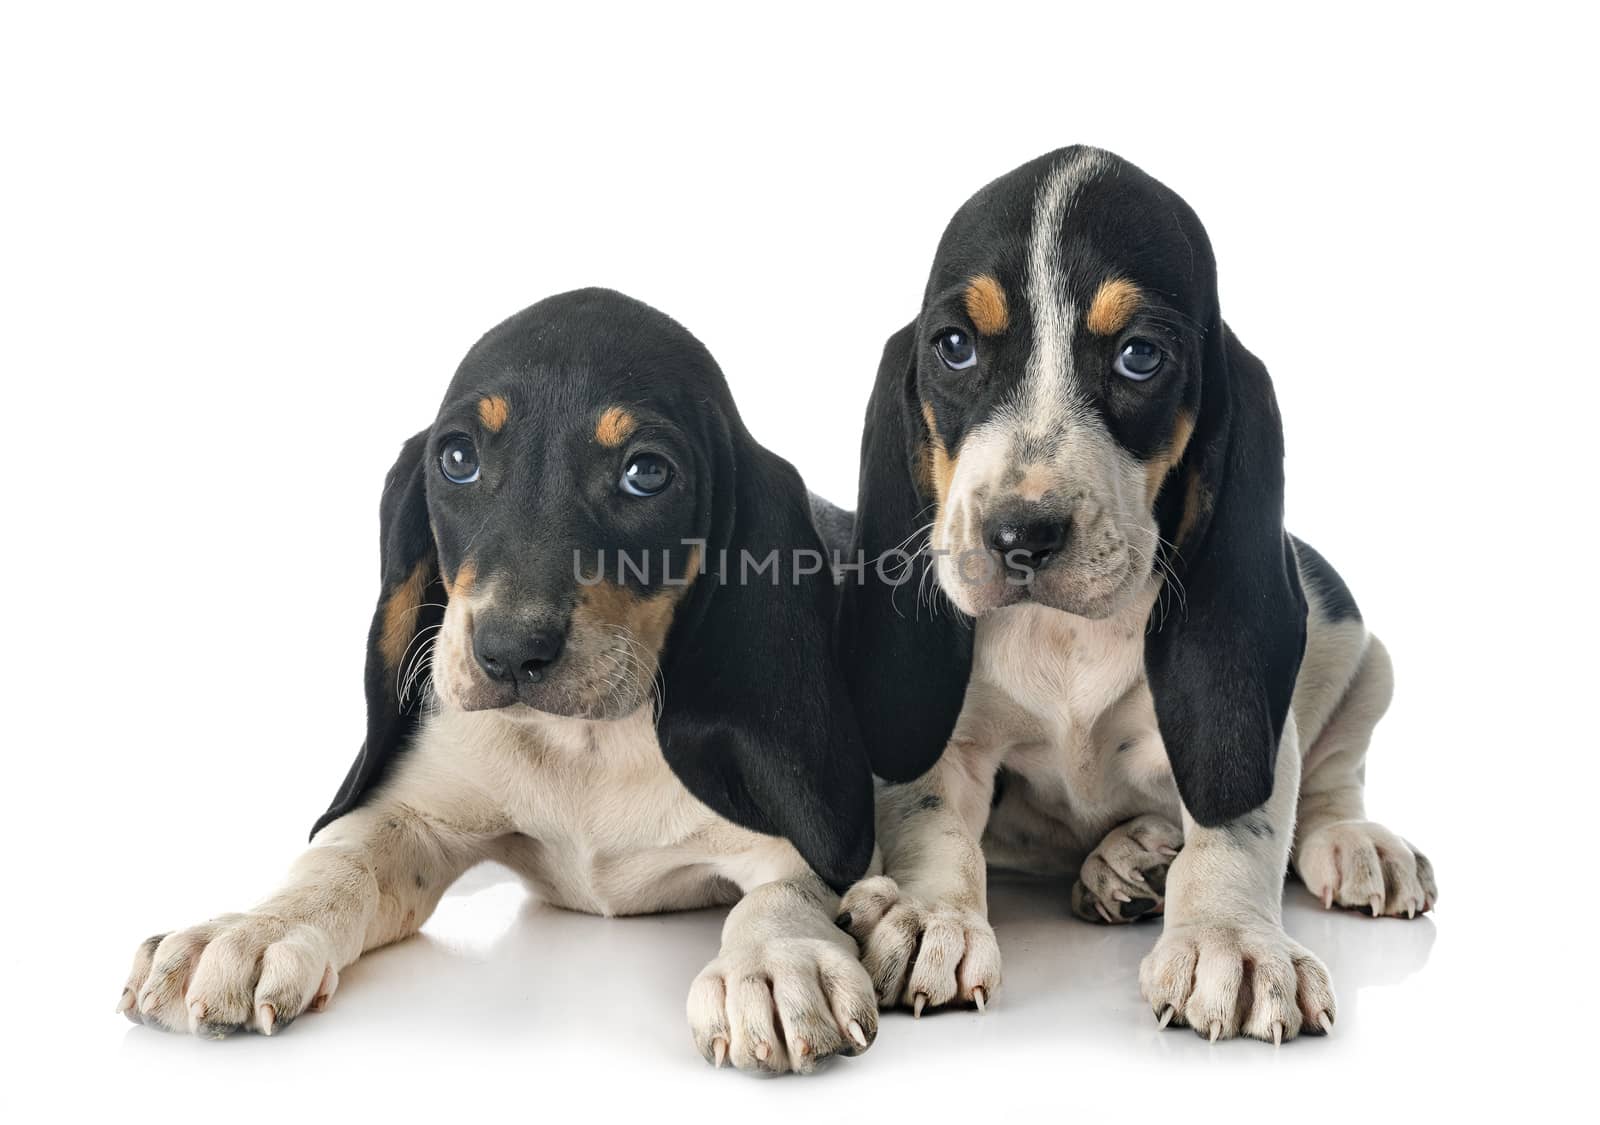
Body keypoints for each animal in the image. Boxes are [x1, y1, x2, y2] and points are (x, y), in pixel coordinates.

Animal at [118, 288, 883, 1075]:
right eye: (457, 458)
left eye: (646, 472)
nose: (510, 652)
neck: (586, 748)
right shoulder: (413, 816)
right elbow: (338, 862)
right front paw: (253, 928)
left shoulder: (798, 840)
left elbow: (786, 890)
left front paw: (774, 962)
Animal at [838, 149, 1440, 1049]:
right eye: (952, 347)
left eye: (1139, 356)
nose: (1019, 534)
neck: (1065, 634)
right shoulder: (950, 736)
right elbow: (931, 813)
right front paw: (928, 913)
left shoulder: (1247, 724)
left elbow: (1239, 824)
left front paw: (1232, 937)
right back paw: (1122, 858)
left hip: (1363, 655)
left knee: (1334, 775)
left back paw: (1347, 844)